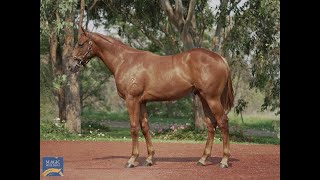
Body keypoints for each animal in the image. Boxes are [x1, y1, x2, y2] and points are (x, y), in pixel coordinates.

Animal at [71, 27, 234, 168]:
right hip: (203, 98)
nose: (72, 65)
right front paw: (149, 158)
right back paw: (203, 159)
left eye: (80, 44)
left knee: (223, 122)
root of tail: (221, 59)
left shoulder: (132, 100)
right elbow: (145, 127)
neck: (125, 60)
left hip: (212, 98)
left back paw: (224, 161)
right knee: (211, 125)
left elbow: (134, 127)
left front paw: (132, 159)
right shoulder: (142, 102)